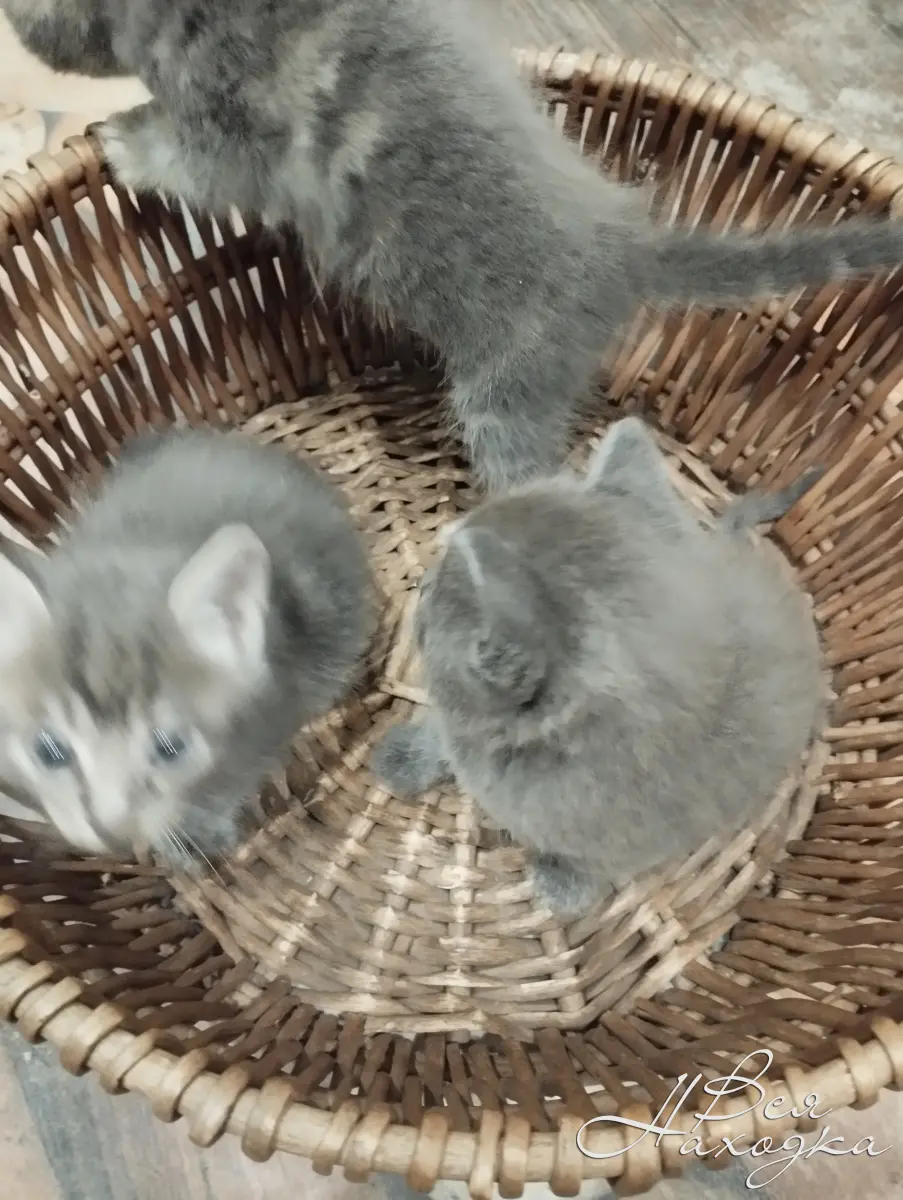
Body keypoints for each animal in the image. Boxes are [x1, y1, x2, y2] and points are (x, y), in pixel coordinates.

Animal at [0, 426, 374, 869]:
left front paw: (195, 830)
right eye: (48, 751)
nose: (113, 830)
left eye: (170, 748)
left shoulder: (274, 710)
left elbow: (238, 771)